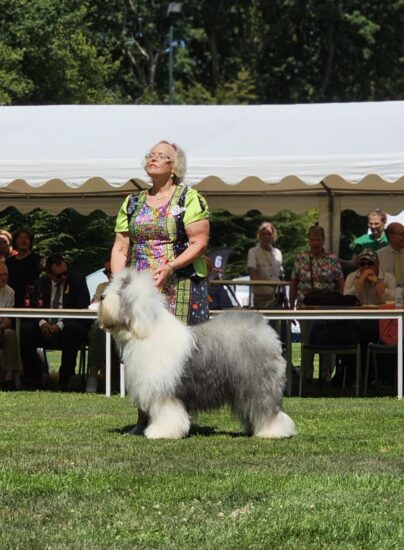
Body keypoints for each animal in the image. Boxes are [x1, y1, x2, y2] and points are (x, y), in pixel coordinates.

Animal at [99, 269, 296, 440]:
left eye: (121, 291)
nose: (101, 297)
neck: (146, 331)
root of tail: (268, 334)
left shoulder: (165, 391)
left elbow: (166, 413)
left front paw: (161, 432)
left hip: (258, 384)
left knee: (267, 409)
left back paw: (273, 431)